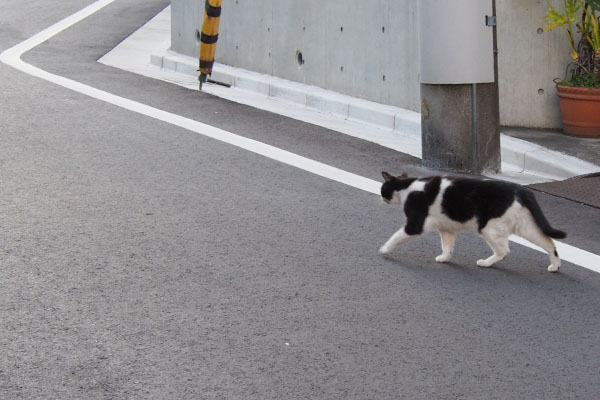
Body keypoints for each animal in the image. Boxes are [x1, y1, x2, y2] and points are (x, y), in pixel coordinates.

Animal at [380, 172, 568, 272]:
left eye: (383, 190)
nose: (381, 198)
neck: (407, 188)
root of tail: (521, 189)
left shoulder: (415, 224)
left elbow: (396, 237)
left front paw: (384, 250)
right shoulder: (446, 228)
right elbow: (447, 246)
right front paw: (445, 258)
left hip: (489, 228)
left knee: (504, 250)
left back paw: (485, 263)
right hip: (526, 226)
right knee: (549, 243)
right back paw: (555, 266)